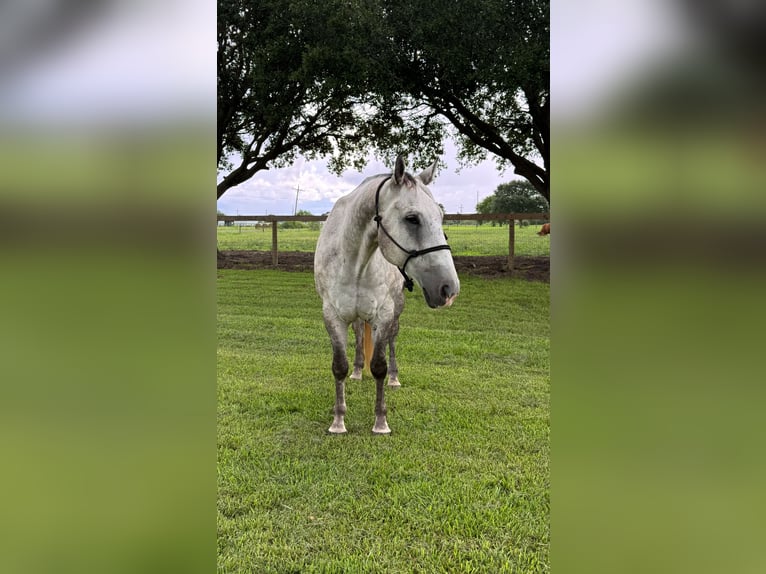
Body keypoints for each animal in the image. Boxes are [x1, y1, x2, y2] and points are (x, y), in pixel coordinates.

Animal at [314, 155, 460, 434]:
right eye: (412, 218)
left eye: (441, 216)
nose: (449, 289)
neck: (354, 263)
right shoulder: (332, 316)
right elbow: (339, 367)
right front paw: (338, 421)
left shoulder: (384, 314)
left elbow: (379, 366)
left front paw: (380, 422)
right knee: (359, 334)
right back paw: (358, 371)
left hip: (396, 309)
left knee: (392, 339)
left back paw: (394, 378)